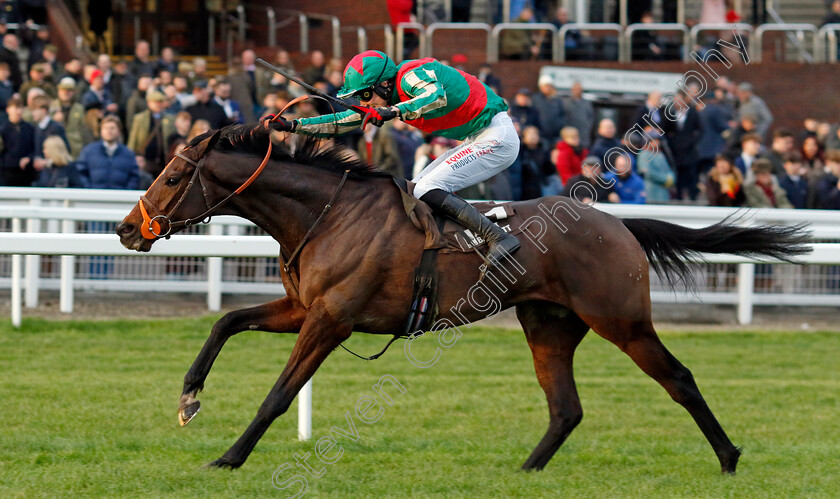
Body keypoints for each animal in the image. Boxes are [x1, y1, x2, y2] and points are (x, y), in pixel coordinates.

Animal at [115, 125, 812, 472]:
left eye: (172, 177)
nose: (126, 229)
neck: (327, 213)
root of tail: (617, 224)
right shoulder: (303, 310)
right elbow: (227, 321)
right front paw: (189, 398)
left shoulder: (331, 320)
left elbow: (280, 394)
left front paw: (230, 457)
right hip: (549, 324)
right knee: (566, 408)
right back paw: (525, 472)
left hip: (622, 320)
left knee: (679, 379)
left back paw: (729, 457)